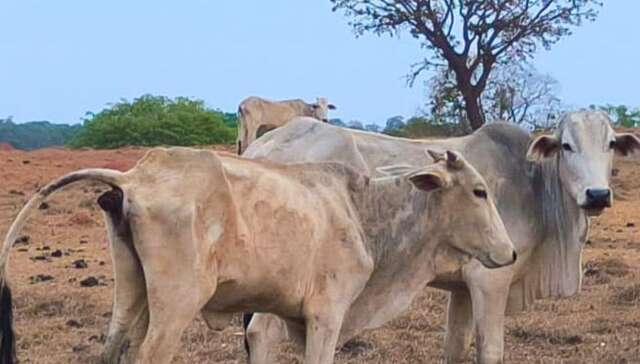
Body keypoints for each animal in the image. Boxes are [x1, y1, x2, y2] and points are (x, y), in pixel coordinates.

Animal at [0, 146, 516, 362]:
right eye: (478, 191)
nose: (510, 253)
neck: (362, 211)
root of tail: (134, 177)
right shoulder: (326, 316)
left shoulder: (281, 316)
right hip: (175, 304)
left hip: (132, 295)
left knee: (112, 351)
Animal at [244, 111, 640, 364]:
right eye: (567, 146)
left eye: (610, 144)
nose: (597, 194)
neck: (533, 184)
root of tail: (261, 146)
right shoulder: (490, 279)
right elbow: (490, 350)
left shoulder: (462, 289)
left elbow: (455, 348)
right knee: (261, 333)